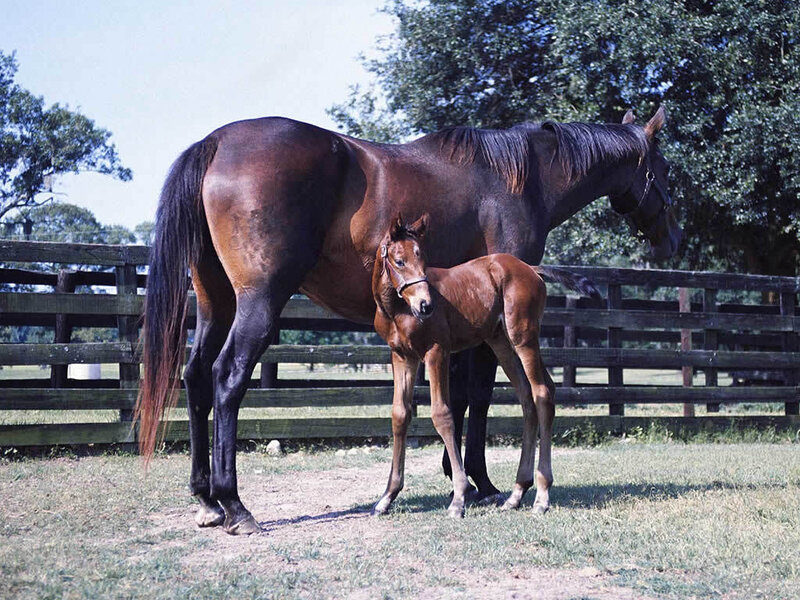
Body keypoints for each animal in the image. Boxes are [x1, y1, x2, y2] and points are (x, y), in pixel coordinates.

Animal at [371, 214, 599, 517]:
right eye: (399, 261)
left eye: (424, 258)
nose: (426, 305)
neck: (397, 310)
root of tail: (531, 268)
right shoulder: (401, 356)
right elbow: (400, 415)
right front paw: (387, 496)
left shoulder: (436, 352)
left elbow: (443, 415)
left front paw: (460, 497)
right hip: (500, 342)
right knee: (527, 397)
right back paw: (516, 494)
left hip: (523, 337)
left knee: (542, 392)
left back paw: (541, 497)